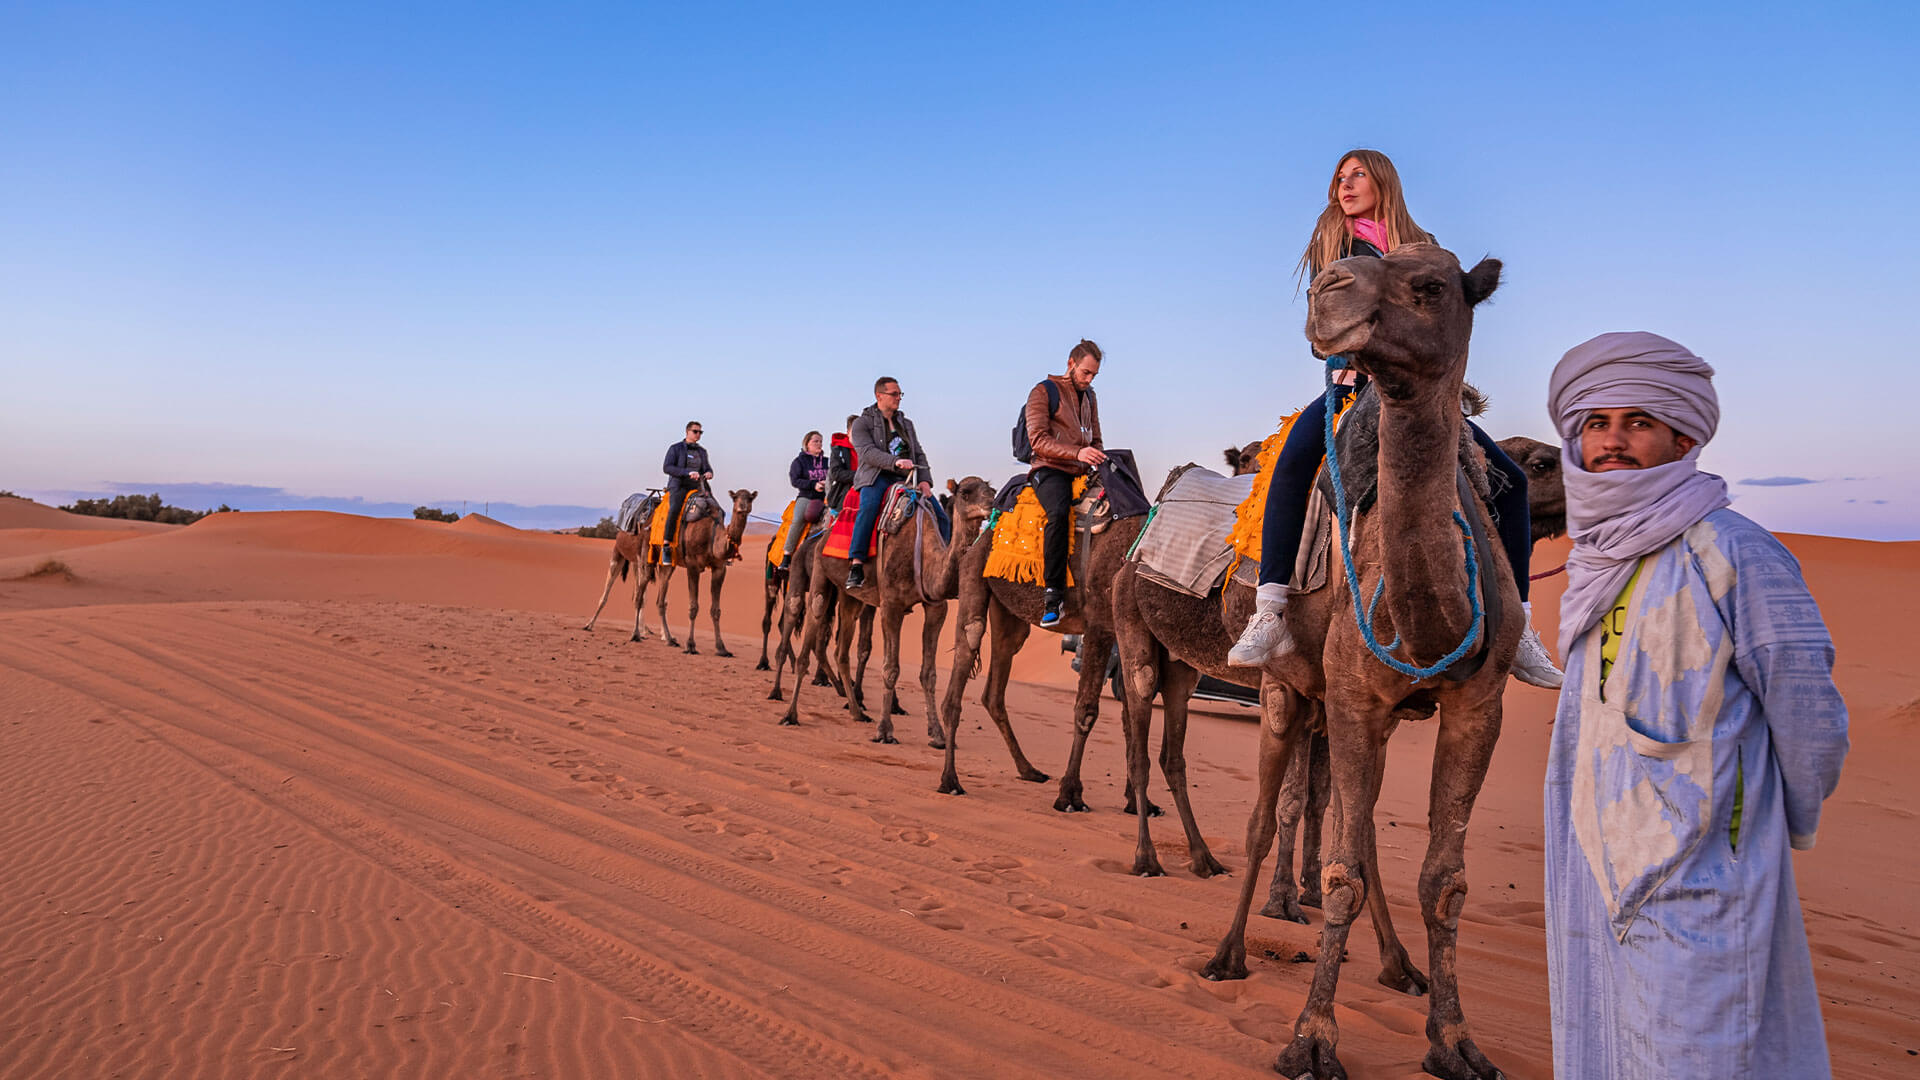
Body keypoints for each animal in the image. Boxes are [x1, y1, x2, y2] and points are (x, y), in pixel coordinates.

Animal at [583, 486, 756, 653]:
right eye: (735, 498)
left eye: (750, 498)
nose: (742, 507)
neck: (712, 536)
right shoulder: (692, 565)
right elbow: (693, 607)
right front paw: (690, 645)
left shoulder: (719, 568)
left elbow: (716, 610)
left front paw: (721, 648)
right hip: (627, 554)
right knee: (626, 593)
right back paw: (614, 630)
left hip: (660, 564)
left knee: (657, 600)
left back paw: (667, 638)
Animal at [775, 478, 998, 737]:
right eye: (965, 493)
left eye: (992, 490)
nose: (991, 504)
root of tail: (822, 535)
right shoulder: (891, 606)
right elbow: (890, 668)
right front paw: (884, 730)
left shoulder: (935, 608)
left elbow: (929, 673)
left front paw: (936, 733)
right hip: (818, 572)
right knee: (809, 622)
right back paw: (788, 711)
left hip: (850, 597)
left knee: (841, 651)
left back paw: (857, 712)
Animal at [1167, 244, 1512, 1076]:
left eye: (1432, 285)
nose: (1330, 291)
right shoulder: (1354, 696)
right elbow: (1340, 871)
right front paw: (1311, 1037)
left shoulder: (1475, 705)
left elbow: (1443, 881)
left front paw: (1454, 1040)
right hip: (1287, 692)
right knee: (1265, 819)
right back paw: (1228, 953)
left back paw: (1399, 967)